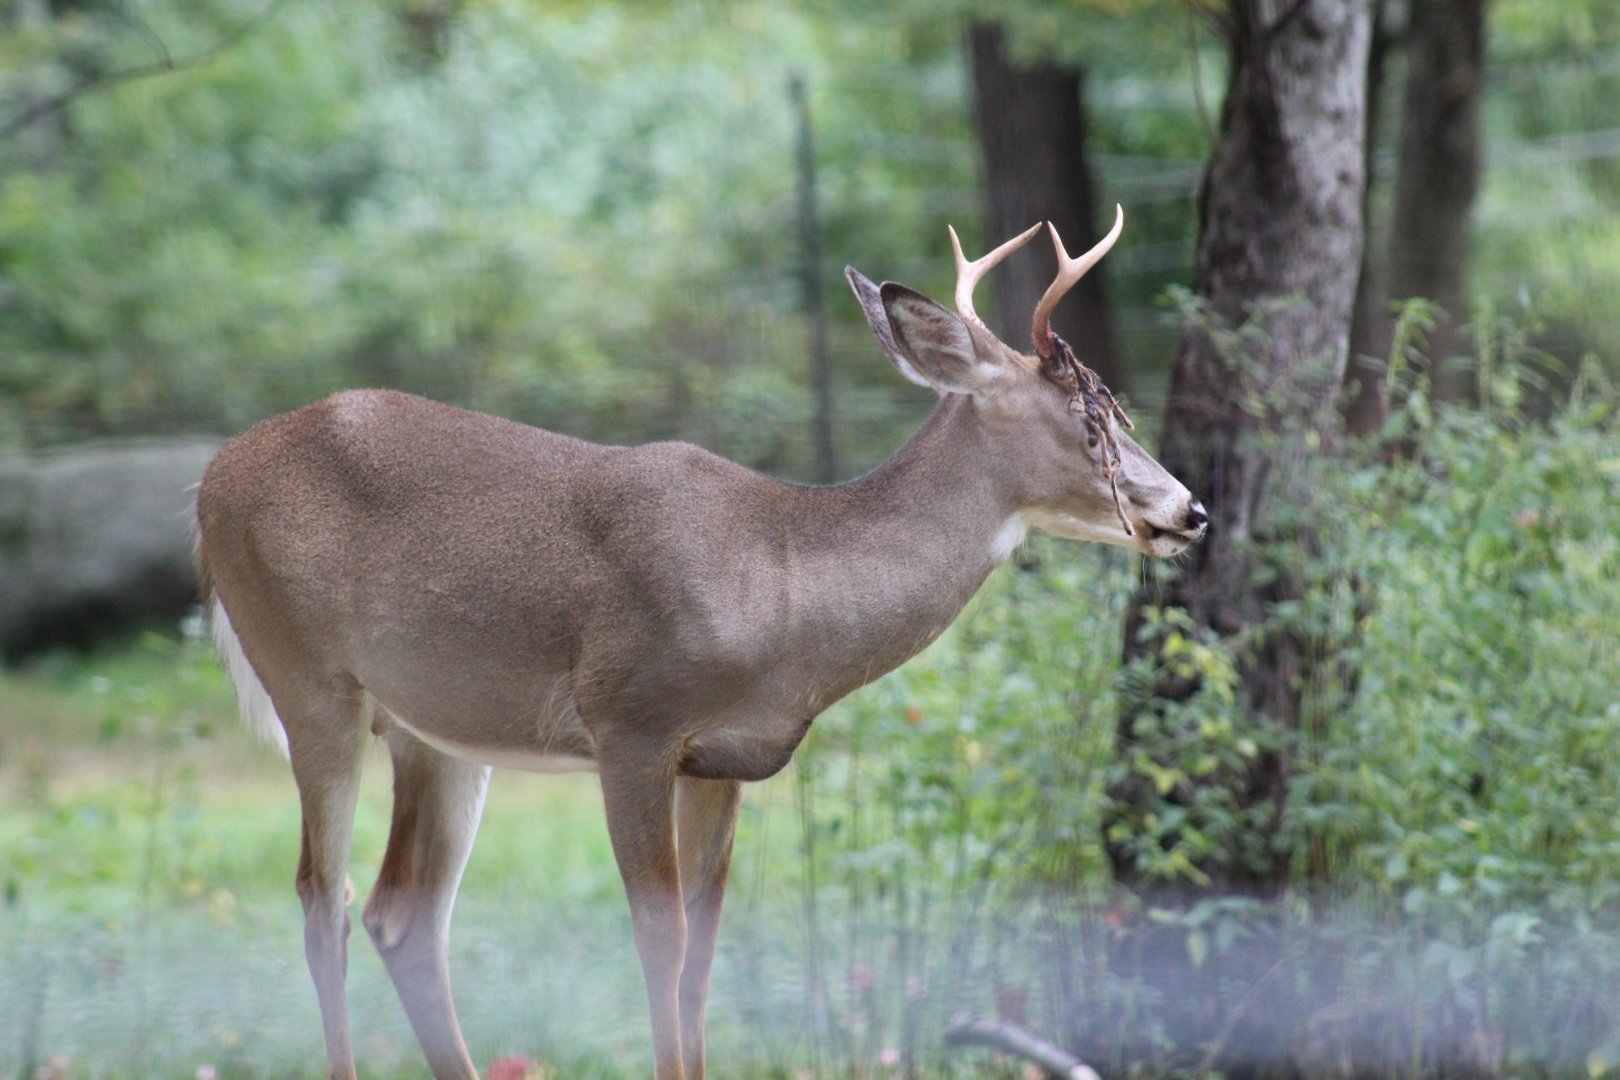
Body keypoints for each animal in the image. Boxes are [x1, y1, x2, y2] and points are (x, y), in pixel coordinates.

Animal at [193, 207, 1206, 1080]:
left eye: (1114, 411)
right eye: (1087, 423)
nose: (1189, 509)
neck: (780, 584)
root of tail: (209, 480)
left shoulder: (724, 762)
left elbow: (704, 954)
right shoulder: (630, 723)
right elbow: (662, 939)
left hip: (435, 730)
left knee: (402, 916)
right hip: (309, 680)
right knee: (320, 901)